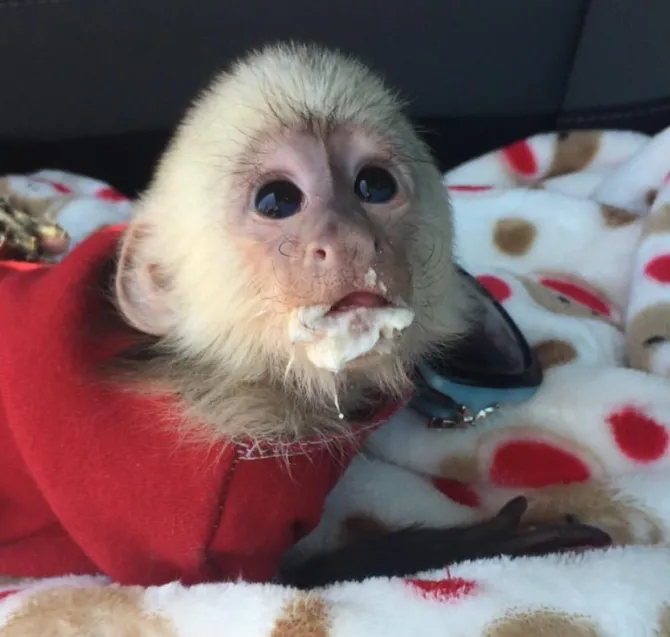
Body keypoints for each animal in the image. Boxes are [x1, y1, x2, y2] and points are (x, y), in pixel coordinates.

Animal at [0, 42, 610, 588]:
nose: (352, 241)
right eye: (278, 200)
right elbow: (260, 586)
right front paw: (486, 541)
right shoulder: (187, 509)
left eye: (374, 185)